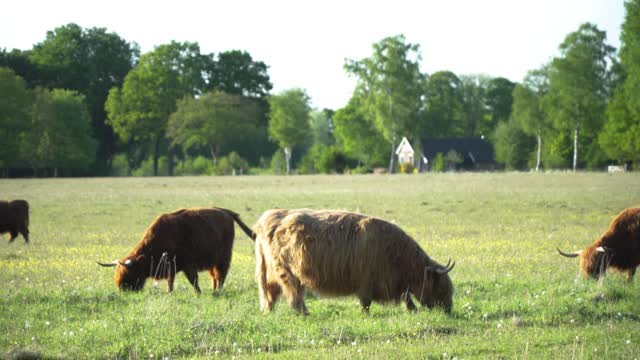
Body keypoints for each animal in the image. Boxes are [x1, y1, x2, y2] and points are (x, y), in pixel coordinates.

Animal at [97, 208, 252, 292]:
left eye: (128, 274)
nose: (122, 290)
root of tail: (226, 212)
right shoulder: (171, 266)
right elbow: (171, 282)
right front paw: (170, 292)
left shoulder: (188, 264)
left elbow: (193, 281)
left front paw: (198, 293)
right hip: (213, 261)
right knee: (215, 276)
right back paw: (215, 290)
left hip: (223, 257)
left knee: (221, 275)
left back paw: (217, 291)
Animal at [251, 208, 456, 316]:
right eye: (442, 287)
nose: (448, 310)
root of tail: (268, 219)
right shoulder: (367, 281)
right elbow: (366, 302)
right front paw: (366, 315)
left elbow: (406, 296)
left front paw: (412, 309)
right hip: (287, 273)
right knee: (294, 296)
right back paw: (304, 314)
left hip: (269, 273)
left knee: (270, 294)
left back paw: (269, 312)